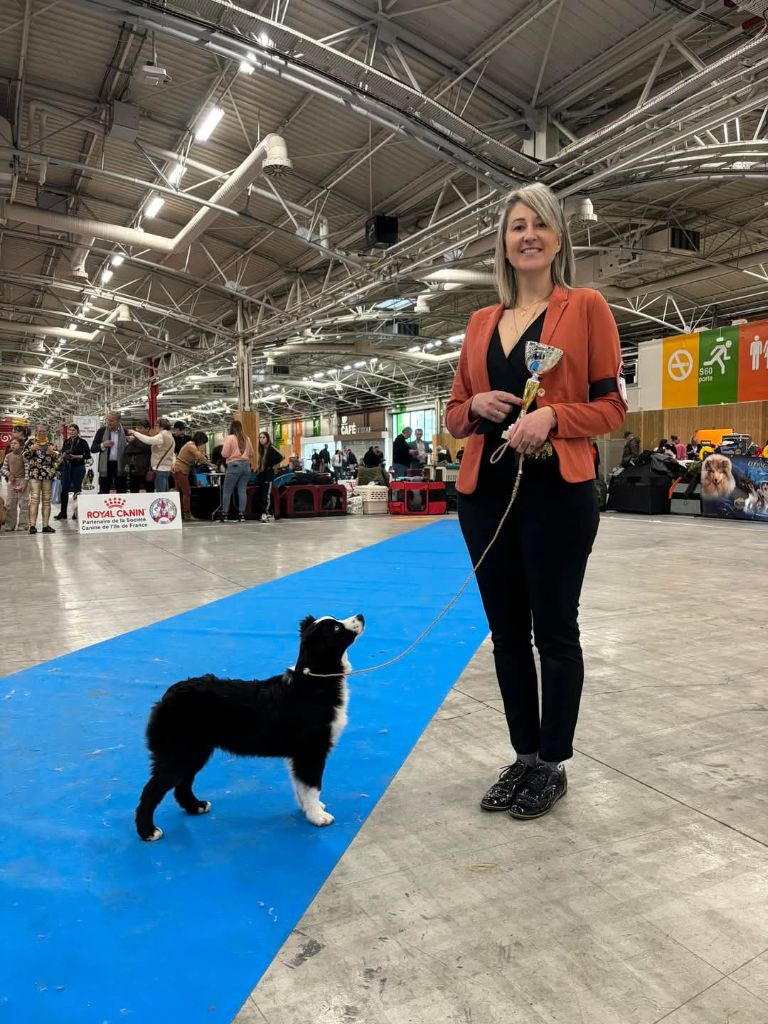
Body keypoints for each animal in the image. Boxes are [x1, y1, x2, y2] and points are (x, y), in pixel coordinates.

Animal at [134, 614, 364, 839]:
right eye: (336, 628)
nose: (361, 616)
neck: (315, 682)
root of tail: (167, 696)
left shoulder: (299, 754)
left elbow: (300, 785)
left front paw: (307, 808)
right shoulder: (312, 750)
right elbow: (312, 785)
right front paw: (318, 816)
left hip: (196, 752)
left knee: (182, 784)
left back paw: (196, 806)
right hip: (178, 752)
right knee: (152, 790)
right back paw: (148, 831)